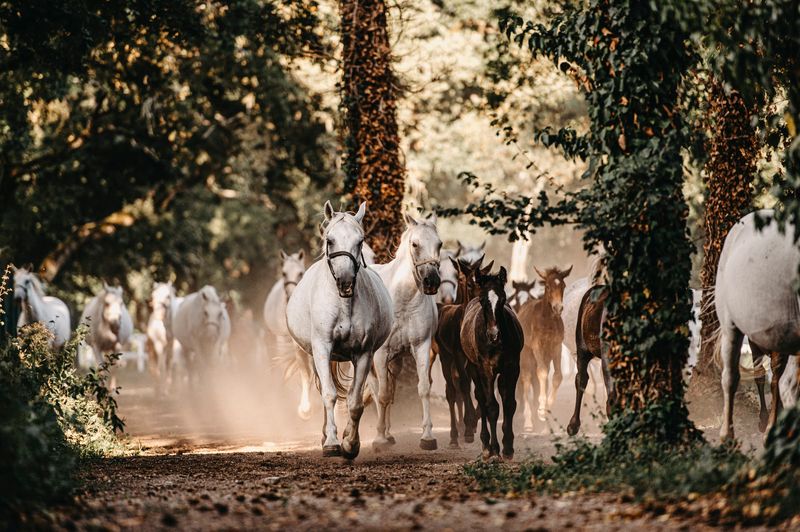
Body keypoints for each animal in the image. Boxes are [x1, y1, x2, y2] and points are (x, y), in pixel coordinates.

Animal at [286, 201, 393, 459]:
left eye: (360, 240)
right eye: (330, 239)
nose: (345, 281)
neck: (343, 303)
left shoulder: (363, 354)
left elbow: (355, 401)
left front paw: (350, 444)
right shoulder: (322, 349)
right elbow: (329, 394)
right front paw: (332, 443)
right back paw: (327, 435)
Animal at [369, 212, 442, 451]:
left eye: (439, 244)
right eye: (415, 244)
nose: (432, 281)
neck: (402, 300)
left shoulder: (421, 347)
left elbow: (423, 388)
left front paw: (427, 436)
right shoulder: (380, 353)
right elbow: (382, 395)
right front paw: (379, 439)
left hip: (396, 361)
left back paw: (389, 433)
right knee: (376, 391)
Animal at [434, 255, 484, 448]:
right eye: (468, 283)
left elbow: (477, 387)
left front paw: (474, 421)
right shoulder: (457, 354)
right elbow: (463, 385)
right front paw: (469, 427)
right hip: (445, 355)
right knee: (451, 391)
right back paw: (455, 435)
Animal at [461, 264, 523, 459]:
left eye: (503, 299)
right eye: (483, 300)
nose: (493, 335)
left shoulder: (512, 368)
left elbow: (509, 403)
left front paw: (508, 446)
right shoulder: (486, 369)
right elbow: (492, 407)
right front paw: (495, 448)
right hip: (474, 369)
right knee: (481, 399)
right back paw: (486, 445)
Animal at [517, 266, 572, 425]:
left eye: (563, 285)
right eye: (547, 286)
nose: (558, 308)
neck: (548, 322)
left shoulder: (557, 347)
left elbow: (557, 376)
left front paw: (546, 407)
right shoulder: (537, 346)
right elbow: (541, 373)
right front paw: (541, 409)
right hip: (526, 355)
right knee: (526, 379)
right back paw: (528, 421)